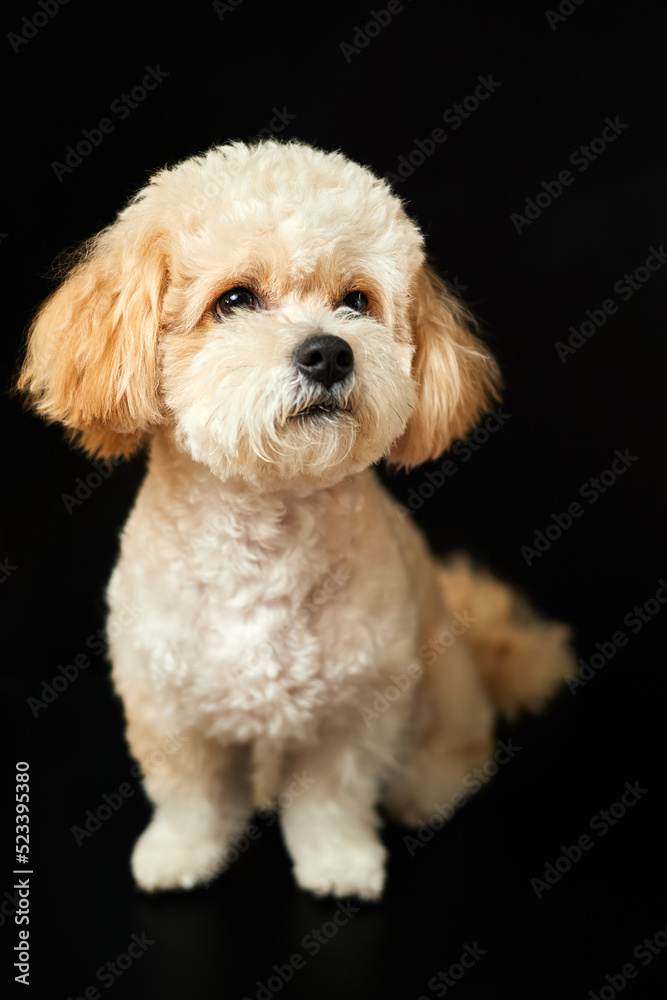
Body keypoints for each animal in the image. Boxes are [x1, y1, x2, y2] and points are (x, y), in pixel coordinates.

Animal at [18, 139, 576, 900]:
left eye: (357, 302)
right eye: (234, 300)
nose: (329, 351)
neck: (265, 531)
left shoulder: (352, 709)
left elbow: (331, 801)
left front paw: (339, 864)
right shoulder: (168, 703)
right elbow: (189, 796)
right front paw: (181, 853)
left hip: (444, 690)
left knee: (447, 751)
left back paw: (428, 790)